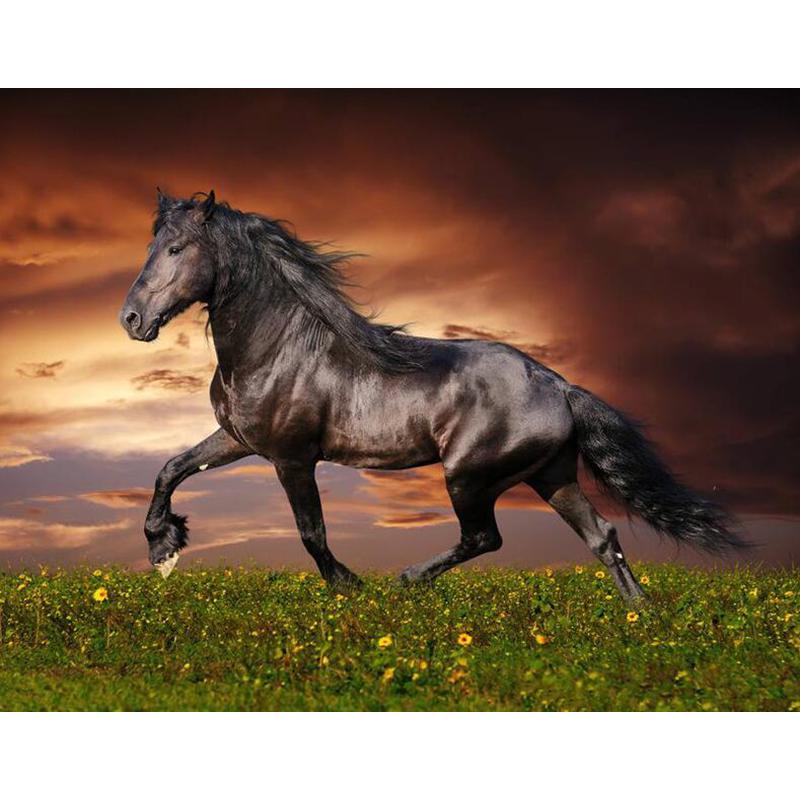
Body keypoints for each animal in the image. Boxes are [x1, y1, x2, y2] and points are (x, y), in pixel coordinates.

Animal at [119, 190, 745, 601]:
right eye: (152, 246)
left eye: (176, 249)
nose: (131, 319)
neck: (277, 347)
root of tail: (560, 386)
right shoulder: (239, 439)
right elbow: (171, 468)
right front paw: (163, 548)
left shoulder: (292, 457)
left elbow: (311, 531)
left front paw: (350, 586)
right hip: (552, 475)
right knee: (603, 537)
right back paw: (638, 617)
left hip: (469, 476)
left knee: (485, 537)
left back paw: (408, 579)